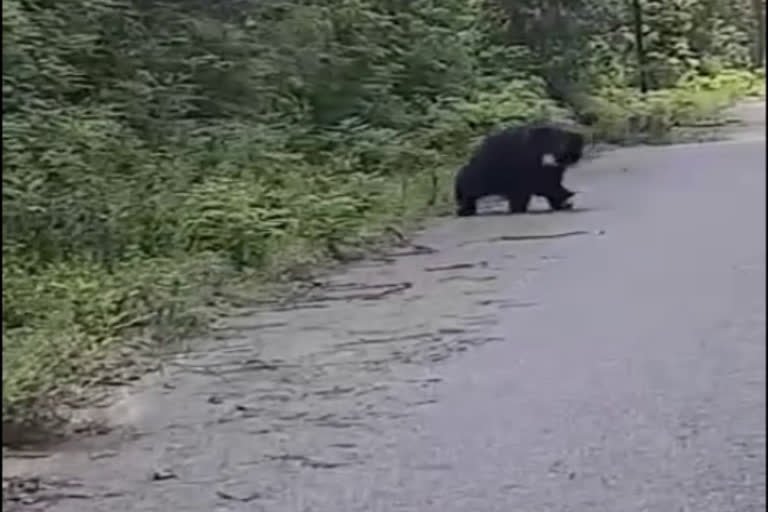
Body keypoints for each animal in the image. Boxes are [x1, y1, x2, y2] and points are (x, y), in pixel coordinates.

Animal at [452, 124, 584, 216]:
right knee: (470, 185)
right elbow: (544, 185)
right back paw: (465, 208)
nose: (574, 159)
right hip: (486, 172)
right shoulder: (528, 165)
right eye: (571, 154)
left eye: (576, 154)